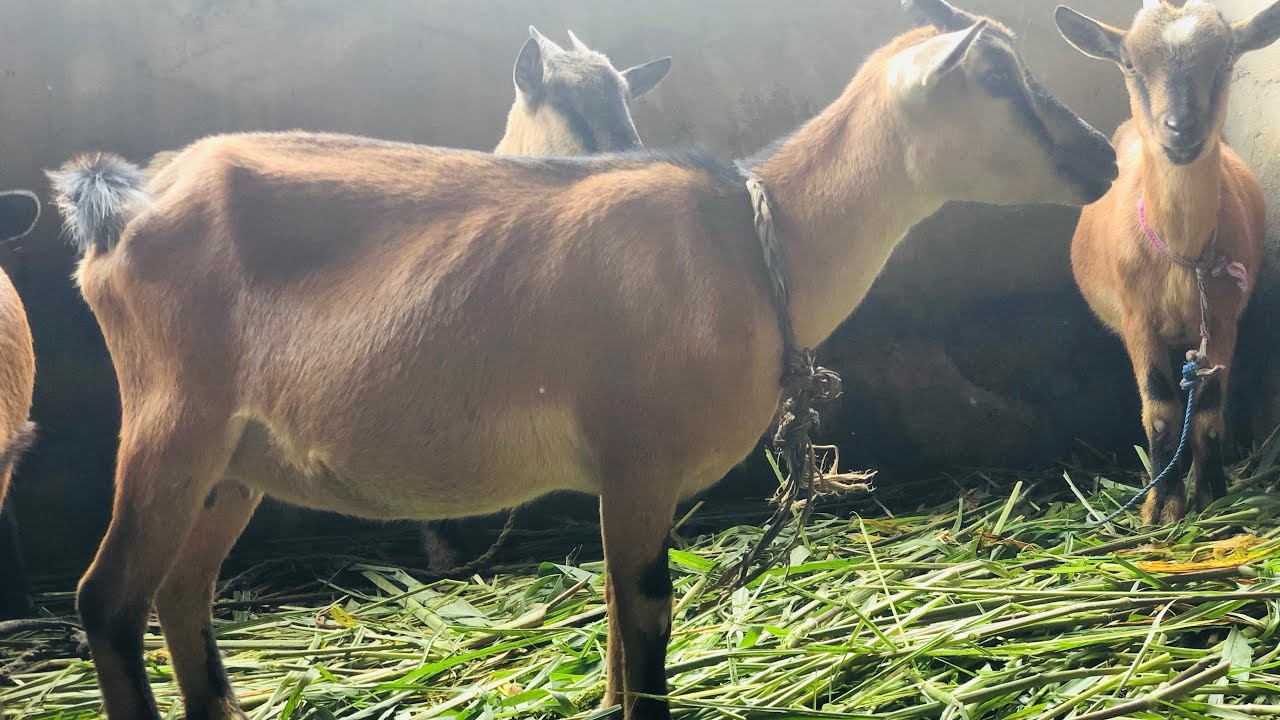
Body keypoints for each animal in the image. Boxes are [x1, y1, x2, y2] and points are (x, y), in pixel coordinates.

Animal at [48, 1, 1116, 717]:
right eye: (1001, 78)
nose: (1106, 157)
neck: (758, 239)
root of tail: (123, 202)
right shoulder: (641, 457)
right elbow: (645, 620)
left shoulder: (618, 476)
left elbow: (610, 610)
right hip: (171, 424)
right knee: (108, 600)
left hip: (235, 460)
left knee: (181, 593)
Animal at [1056, 0, 1278, 525]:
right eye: (1130, 64)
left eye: (1226, 59)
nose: (1181, 128)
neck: (1183, 256)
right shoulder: (1137, 321)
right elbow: (1159, 413)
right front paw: (1162, 507)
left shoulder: (1222, 323)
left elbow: (1210, 415)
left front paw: (1210, 494)